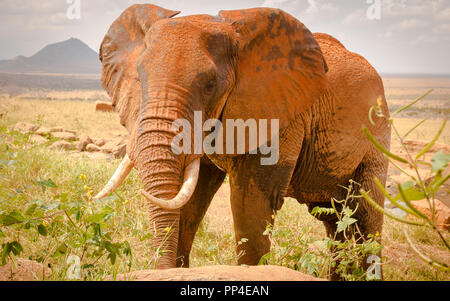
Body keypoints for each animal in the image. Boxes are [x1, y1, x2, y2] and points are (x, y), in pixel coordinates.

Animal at [94, 2, 390, 278]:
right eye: (139, 79)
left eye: (210, 84)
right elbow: (191, 198)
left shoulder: (278, 113)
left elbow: (251, 205)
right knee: (334, 219)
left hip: (377, 135)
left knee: (366, 217)